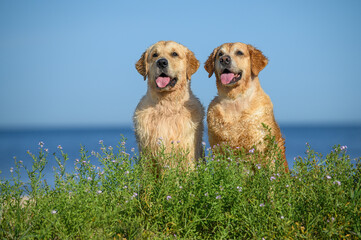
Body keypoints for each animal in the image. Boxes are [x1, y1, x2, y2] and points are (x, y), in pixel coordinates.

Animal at [205, 42, 286, 171]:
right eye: (220, 54)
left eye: (239, 52)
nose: (224, 59)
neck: (235, 100)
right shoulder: (217, 145)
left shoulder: (259, 144)